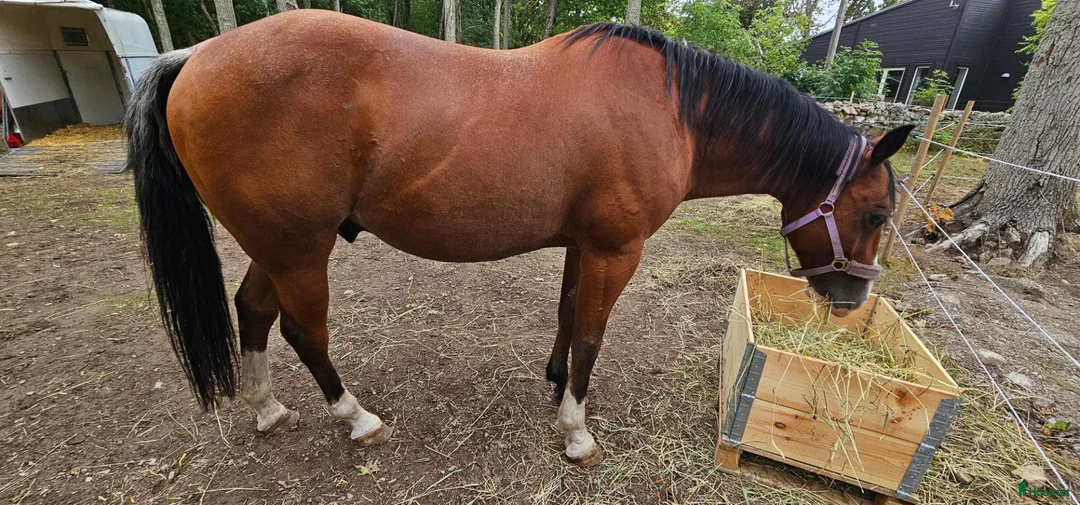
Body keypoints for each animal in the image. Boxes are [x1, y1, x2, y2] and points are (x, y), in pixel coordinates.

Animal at [124, 10, 911, 466]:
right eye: (877, 215)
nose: (848, 302)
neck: (674, 112)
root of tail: (196, 57)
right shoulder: (615, 250)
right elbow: (591, 332)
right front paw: (577, 430)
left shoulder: (582, 245)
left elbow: (568, 318)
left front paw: (557, 382)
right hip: (300, 248)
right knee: (302, 329)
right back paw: (357, 418)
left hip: (278, 244)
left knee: (254, 312)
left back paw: (268, 410)